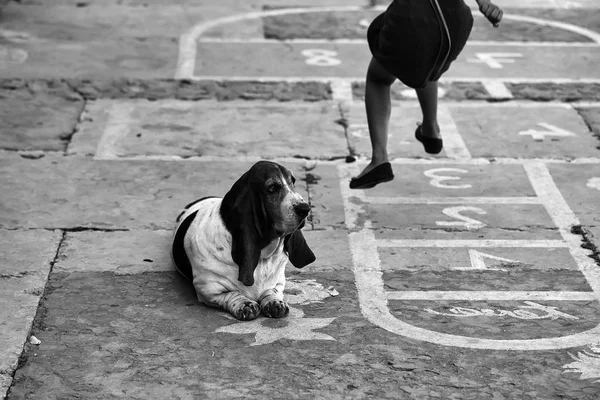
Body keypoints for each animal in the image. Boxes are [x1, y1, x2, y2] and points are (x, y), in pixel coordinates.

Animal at [171, 161, 316, 320]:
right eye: (272, 188)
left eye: (293, 182)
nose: (305, 208)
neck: (263, 255)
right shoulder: (208, 289)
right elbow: (231, 294)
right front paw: (245, 304)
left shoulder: (279, 281)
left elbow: (272, 291)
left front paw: (274, 302)